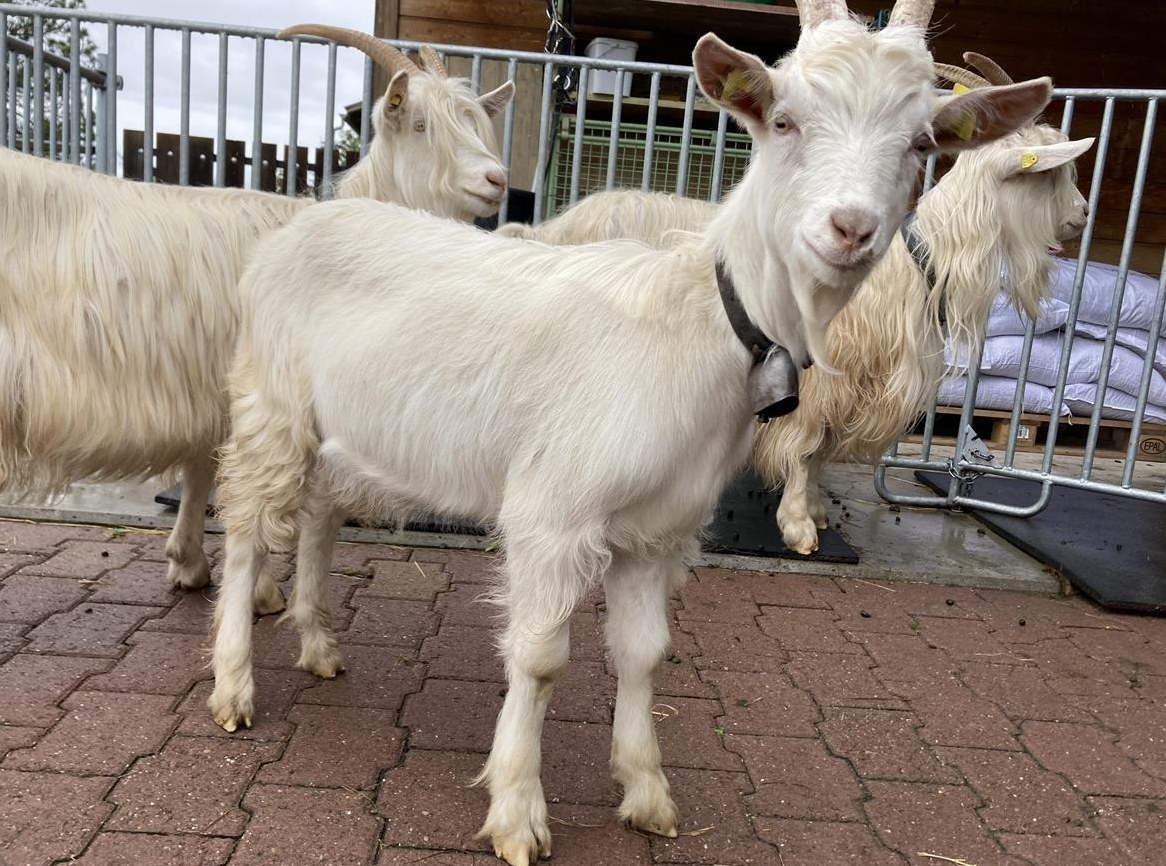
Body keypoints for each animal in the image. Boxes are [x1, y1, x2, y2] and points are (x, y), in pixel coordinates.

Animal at [0, 24, 514, 612]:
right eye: (422, 125)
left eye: (476, 123)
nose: (496, 179)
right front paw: (260, 588)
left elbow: (203, 470)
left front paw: (190, 563)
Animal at [207, 4, 1052, 864]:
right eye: (783, 119)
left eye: (922, 142)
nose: (850, 228)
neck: (701, 320)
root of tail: (307, 218)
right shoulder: (553, 514)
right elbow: (541, 659)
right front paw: (518, 812)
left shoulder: (657, 531)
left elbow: (645, 652)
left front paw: (647, 792)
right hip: (272, 407)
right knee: (245, 527)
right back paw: (234, 685)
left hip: (336, 431)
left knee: (318, 512)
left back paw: (318, 646)